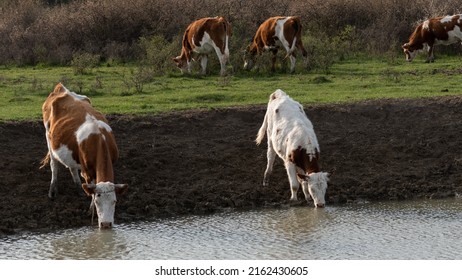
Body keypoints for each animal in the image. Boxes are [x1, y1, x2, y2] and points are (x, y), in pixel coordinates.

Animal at [41, 82, 127, 228]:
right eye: (98, 202)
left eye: (114, 201)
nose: (106, 224)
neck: (100, 139)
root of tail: (62, 89)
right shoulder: (87, 172)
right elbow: (92, 191)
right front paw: (91, 210)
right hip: (48, 137)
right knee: (54, 165)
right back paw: (52, 191)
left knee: (72, 167)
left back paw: (78, 188)